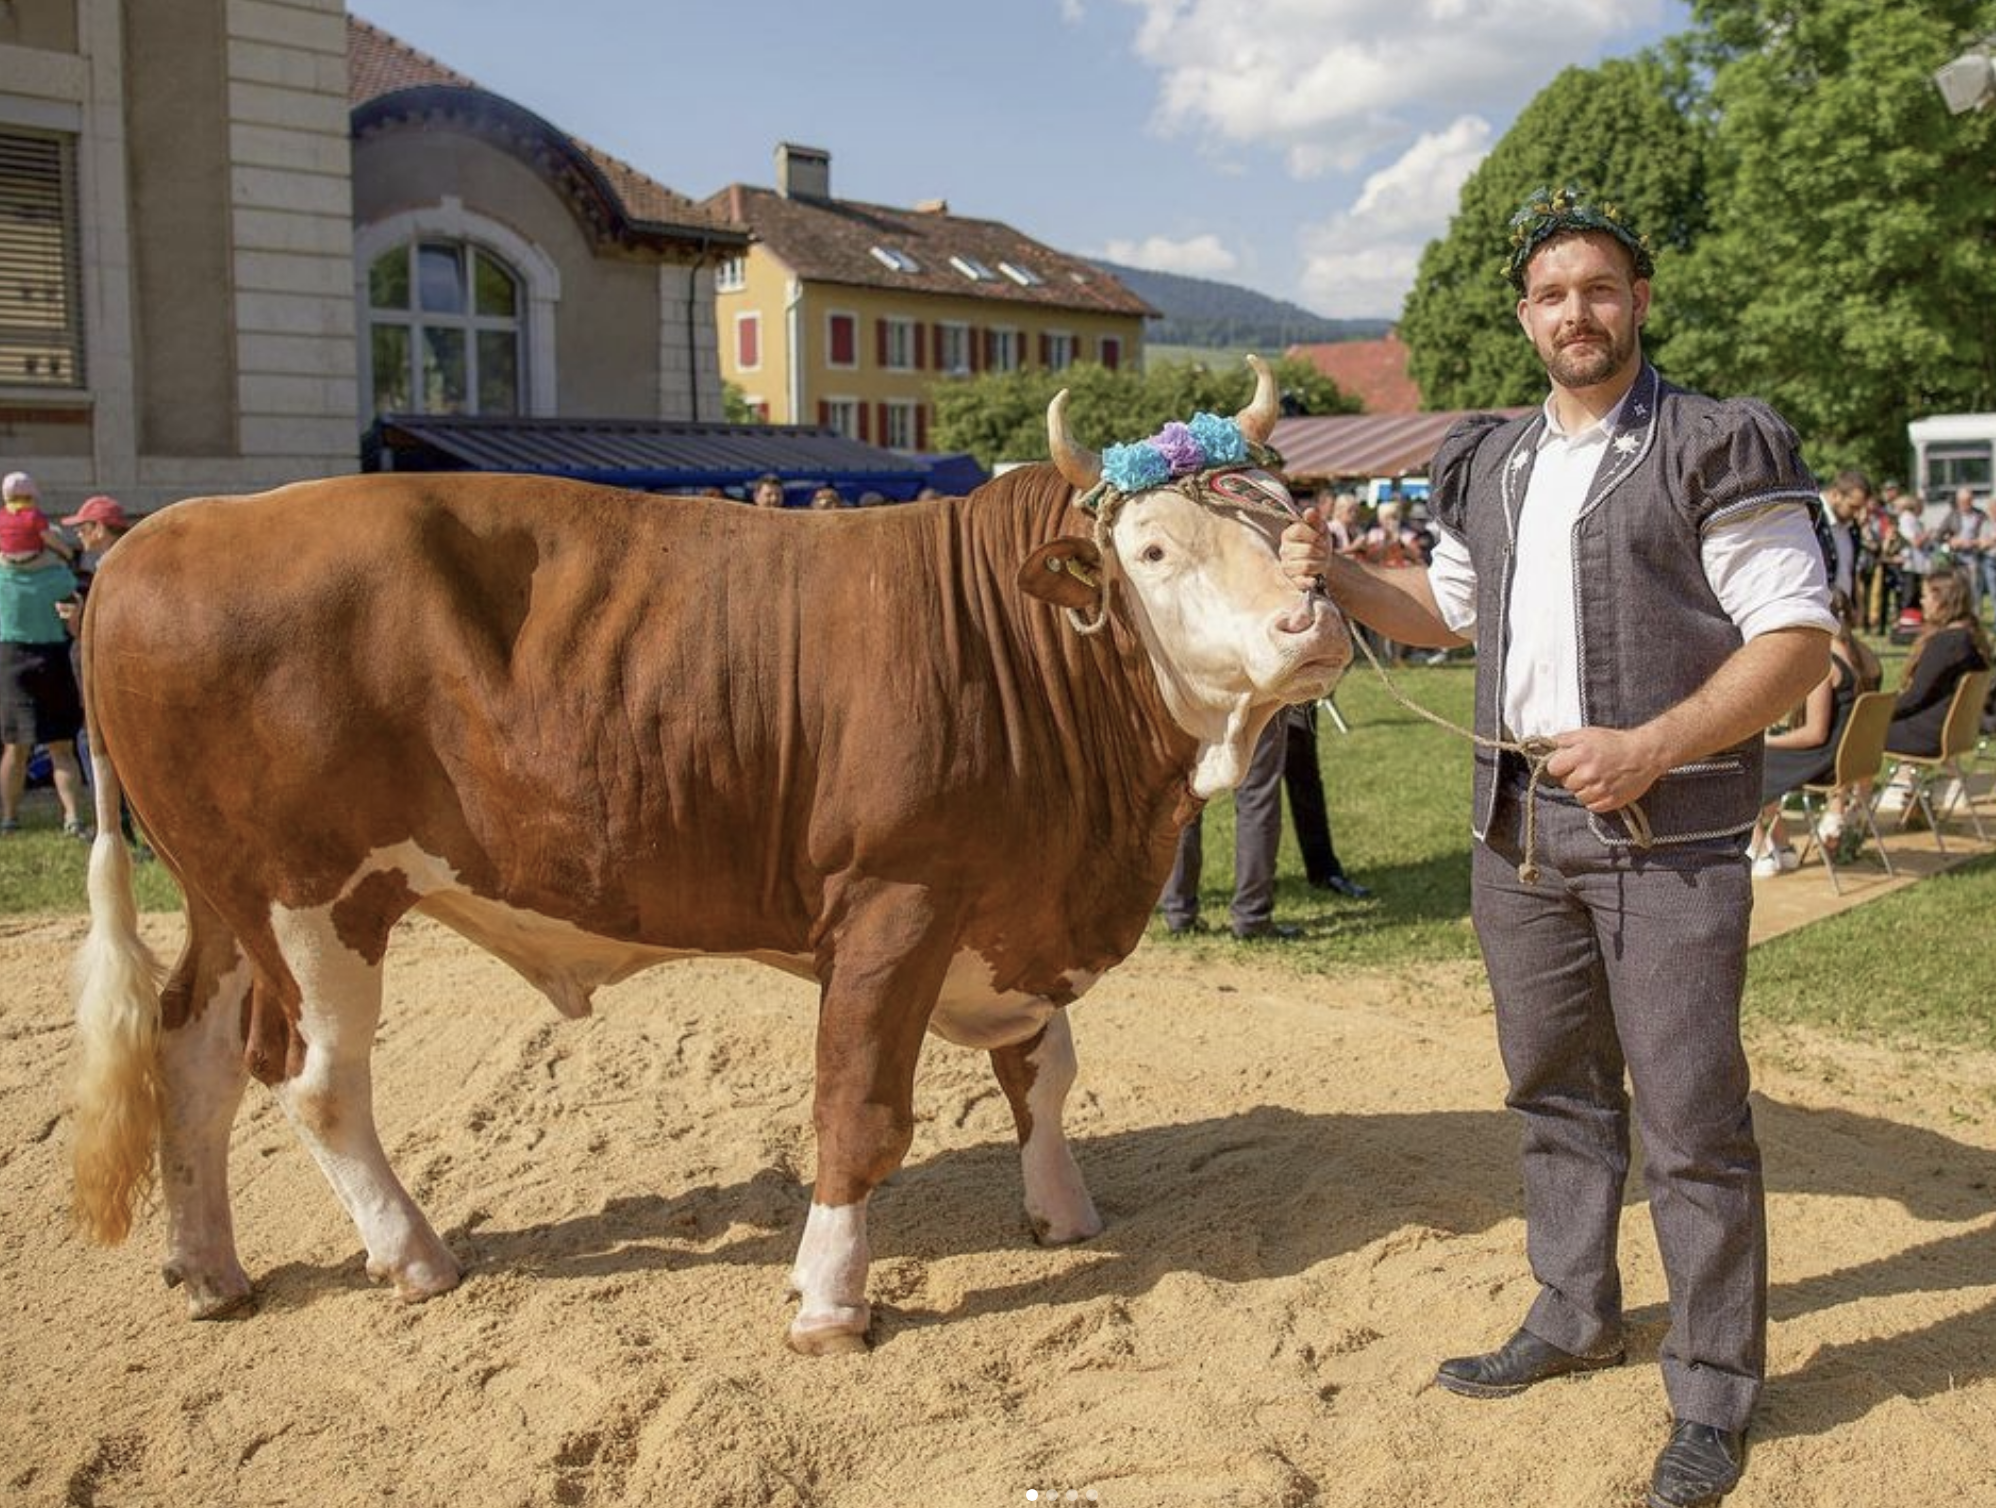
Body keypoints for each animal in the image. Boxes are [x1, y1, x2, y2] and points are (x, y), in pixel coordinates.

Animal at [73, 357, 1357, 1356]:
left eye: (1285, 513)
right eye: (1152, 548)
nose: (1313, 621)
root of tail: (166, 532)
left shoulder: (1014, 905)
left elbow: (1041, 1069)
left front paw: (1063, 1212)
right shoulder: (898, 897)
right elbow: (859, 1107)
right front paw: (829, 1300)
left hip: (224, 895)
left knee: (190, 1053)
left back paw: (210, 1268)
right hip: (313, 897)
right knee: (314, 1079)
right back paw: (414, 1254)